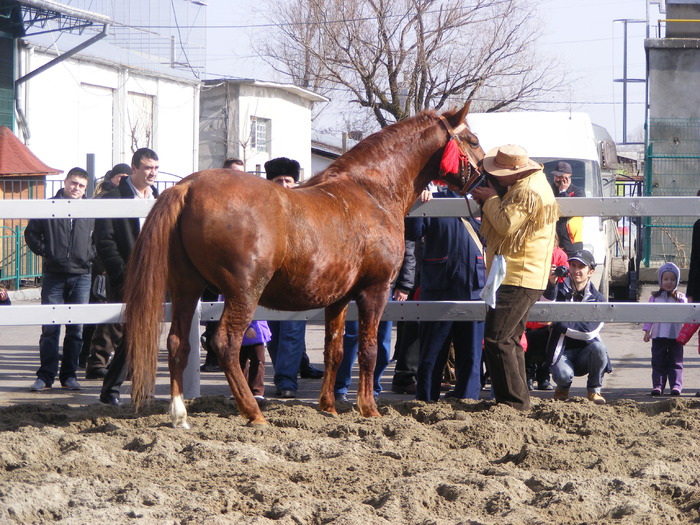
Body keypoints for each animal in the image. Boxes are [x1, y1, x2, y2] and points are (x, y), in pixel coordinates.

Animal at [124, 102, 482, 426]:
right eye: (474, 141)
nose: (485, 182)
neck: (371, 192)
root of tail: (187, 186)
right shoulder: (375, 290)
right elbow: (368, 350)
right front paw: (369, 409)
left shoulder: (338, 299)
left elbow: (334, 350)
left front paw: (329, 407)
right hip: (243, 292)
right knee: (226, 343)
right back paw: (253, 413)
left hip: (187, 288)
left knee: (177, 342)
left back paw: (180, 414)